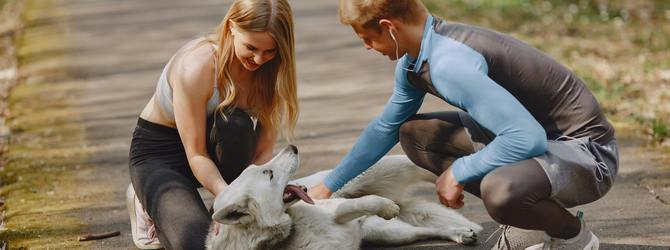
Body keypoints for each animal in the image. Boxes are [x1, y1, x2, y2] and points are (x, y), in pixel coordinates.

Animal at [206, 146, 484, 249]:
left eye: (261, 167)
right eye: (269, 173)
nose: (292, 147)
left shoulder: (337, 209)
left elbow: (365, 201)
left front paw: (385, 206)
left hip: (381, 170)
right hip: (388, 234)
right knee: (423, 231)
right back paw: (460, 233)